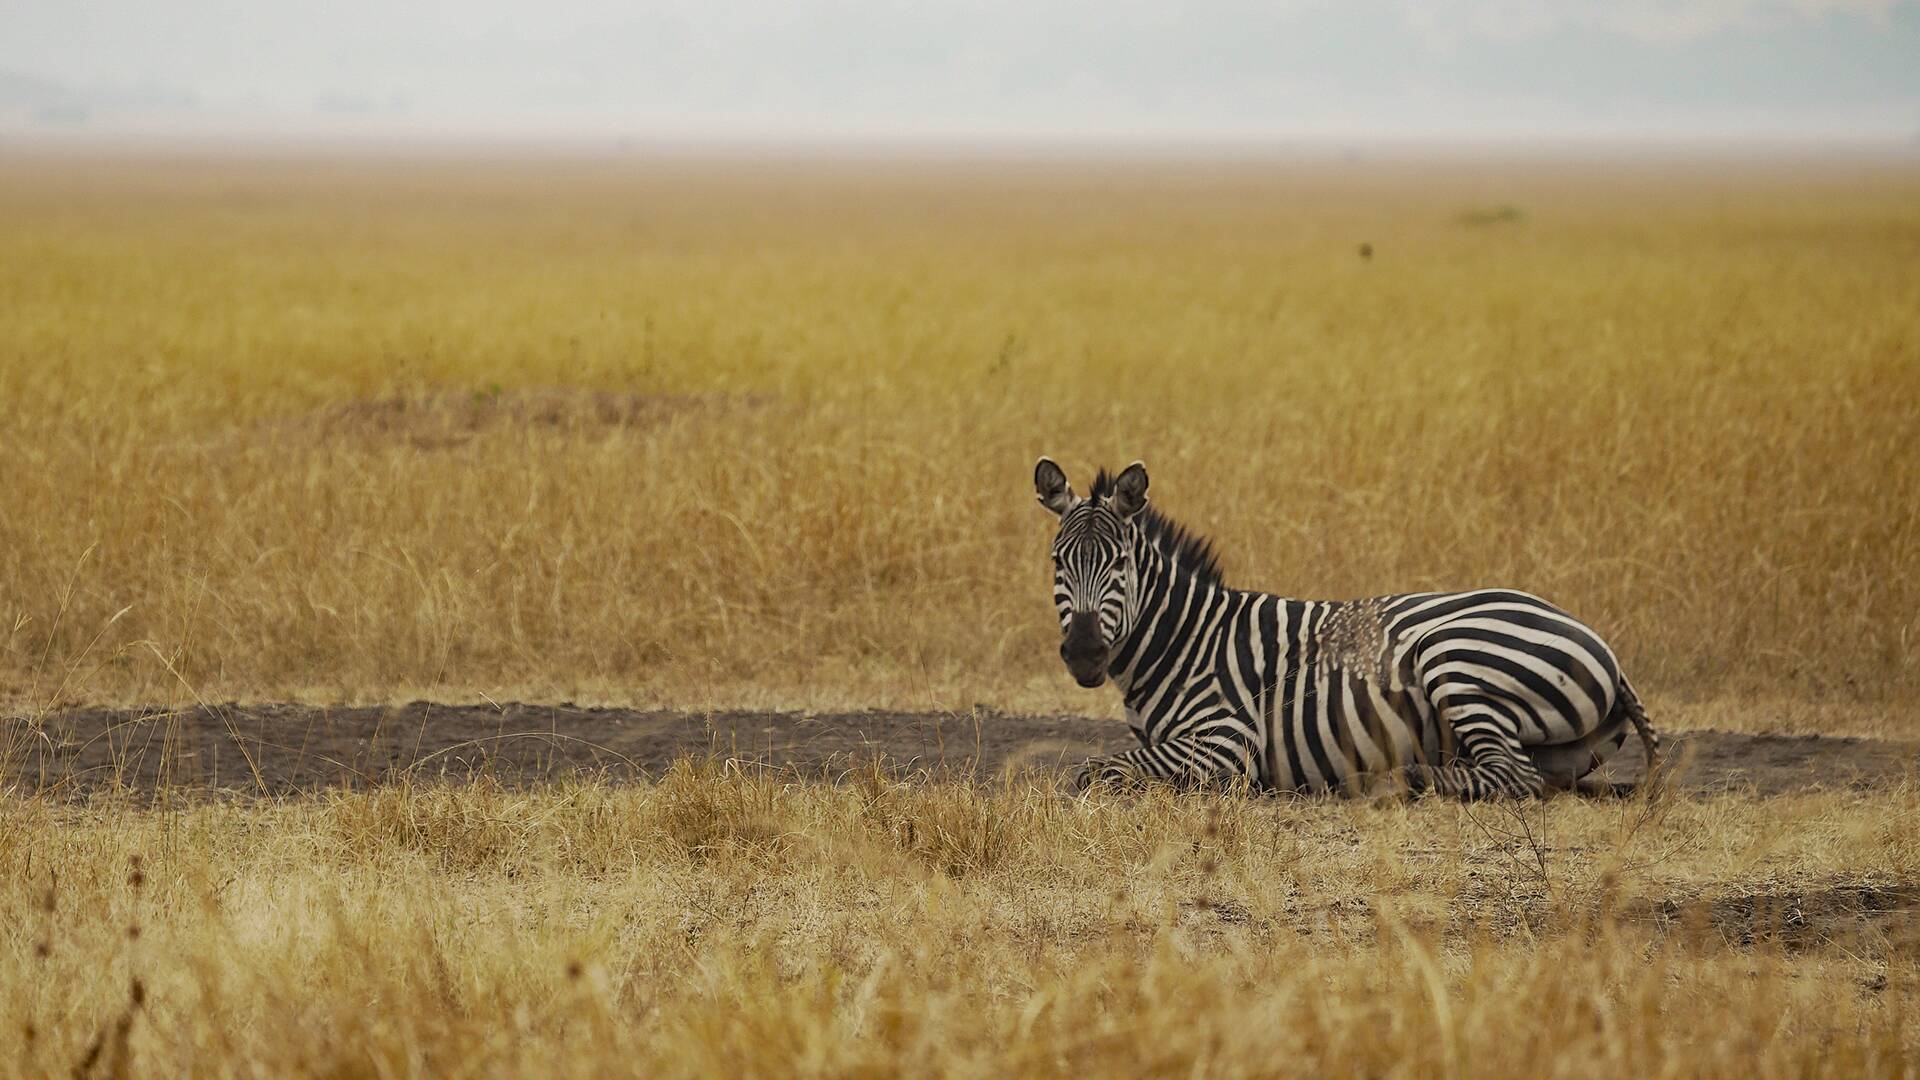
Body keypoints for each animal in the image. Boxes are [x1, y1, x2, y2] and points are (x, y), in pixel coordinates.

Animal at [1044, 455, 1658, 799]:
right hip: (1553, 747)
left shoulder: (1228, 739)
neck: (1183, 640)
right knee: (1523, 772)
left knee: (1515, 777)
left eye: (1120, 564)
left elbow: (1100, 770)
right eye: (1058, 562)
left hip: (1453, 658)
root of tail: (1601, 645)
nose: (1084, 653)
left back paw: (1401, 781)